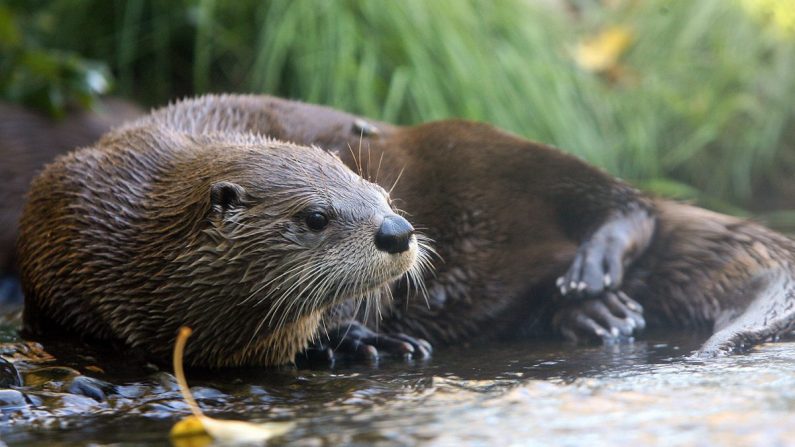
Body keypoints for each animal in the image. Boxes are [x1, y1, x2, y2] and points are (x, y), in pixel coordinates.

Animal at [123, 95, 788, 360]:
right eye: (314, 218)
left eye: (376, 194)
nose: (398, 230)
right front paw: (359, 341)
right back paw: (595, 313)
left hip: (487, 143)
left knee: (629, 202)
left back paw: (593, 274)